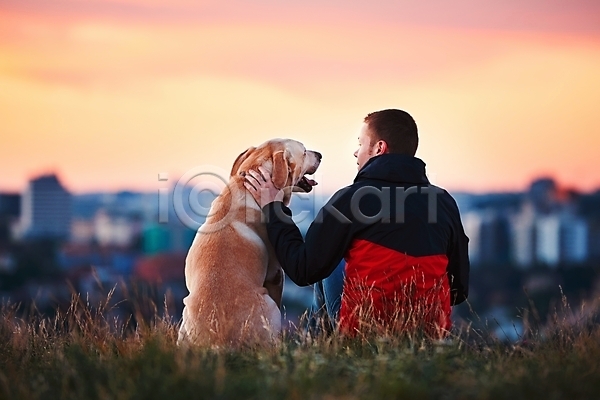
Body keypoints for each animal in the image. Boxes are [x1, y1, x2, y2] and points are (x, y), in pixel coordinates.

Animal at [177, 138, 322, 346]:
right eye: (303, 152)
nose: (320, 155)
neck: (245, 187)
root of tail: (218, 342)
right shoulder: (276, 274)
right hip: (270, 307)